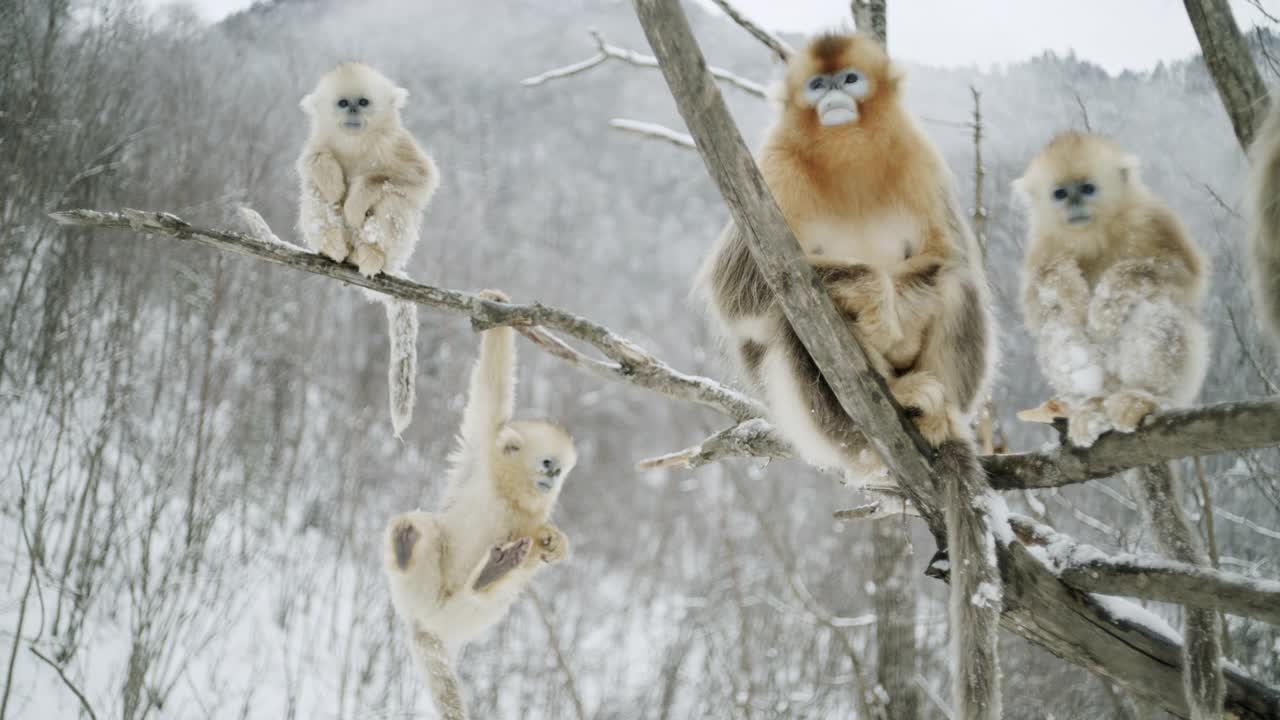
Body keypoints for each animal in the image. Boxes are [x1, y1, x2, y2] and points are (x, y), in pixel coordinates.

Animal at [381, 288, 578, 712]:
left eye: (561, 471)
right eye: (548, 463)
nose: (553, 479)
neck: (507, 493)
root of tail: (427, 630)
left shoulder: (530, 520)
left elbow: (544, 543)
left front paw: (555, 544)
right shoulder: (480, 449)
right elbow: (492, 385)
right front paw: (496, 303)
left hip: (466, 618)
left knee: (495, 591)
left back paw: (493, 572)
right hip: (415, 593)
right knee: (425, 530)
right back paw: (406, 543)